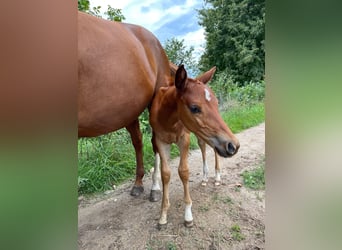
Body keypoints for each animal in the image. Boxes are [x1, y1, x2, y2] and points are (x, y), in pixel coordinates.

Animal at [150, 65, 240, 228]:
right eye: (194, 108)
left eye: (216, 103)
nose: (233, 146)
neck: (167, 118)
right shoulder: (161, 141)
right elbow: (165, 173)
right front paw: (163, 215)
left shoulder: (184, 138)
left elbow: (183, 171)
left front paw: (188, 216)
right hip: (200, 132)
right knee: (204, 146)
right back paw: (205, 178)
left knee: (214, 150)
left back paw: (217, 177)